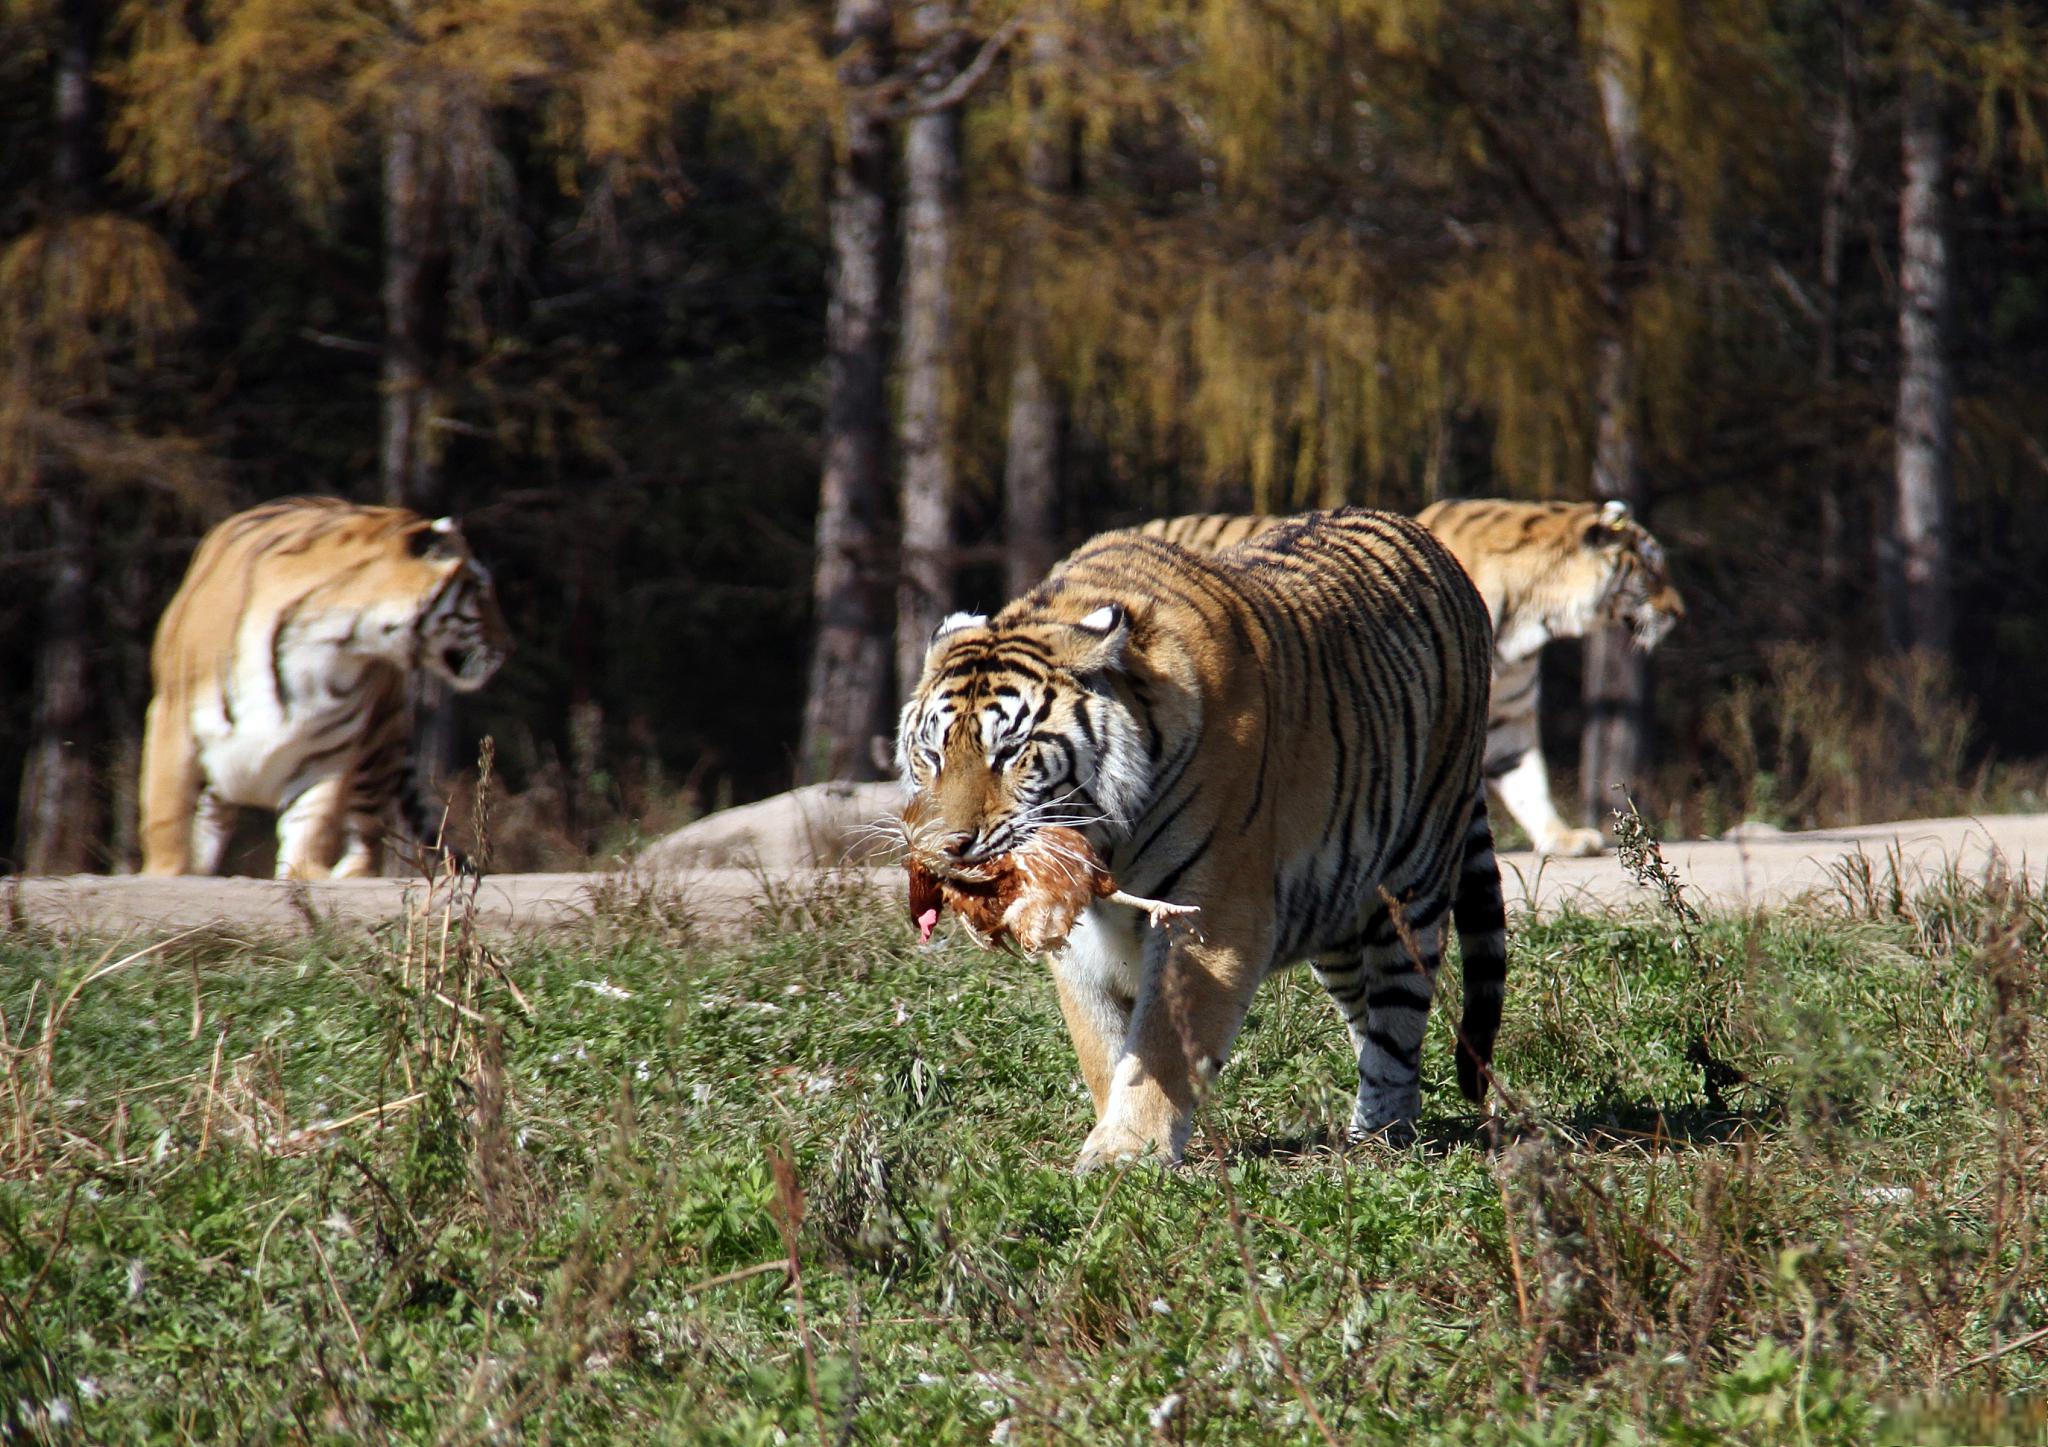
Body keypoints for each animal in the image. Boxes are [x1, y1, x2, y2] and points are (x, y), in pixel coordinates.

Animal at [140, 497, 512, 884]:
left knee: (367, 830)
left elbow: (315, 819)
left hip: (376, 753)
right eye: (479, 589)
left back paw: (353, 874)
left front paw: (306, 873)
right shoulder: (173, 714)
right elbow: (166, 809)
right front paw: (167, 872)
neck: (332, 639)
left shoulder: (331, 748)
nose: (508, 647)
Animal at [897, 503, 1507, 1170]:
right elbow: (1103, 1045)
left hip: (1413, 882)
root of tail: (1429, 539)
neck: (1105, 838)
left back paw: (1380, 1139)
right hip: (1336, 906)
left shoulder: (1210, 914)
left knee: (1398, 1019)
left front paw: (1125, 1153)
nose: (945, 848)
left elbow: (1162, 1046)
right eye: (933, 754)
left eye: (1008, 753)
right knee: (1364, 1012)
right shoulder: (1077, 934)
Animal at [1146, 501, 1687, 855]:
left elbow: (1528, 779)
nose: (1680, 614)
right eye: (1654, 570)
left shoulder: (1507, 715)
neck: (1531, 622)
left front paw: (1563, 838)